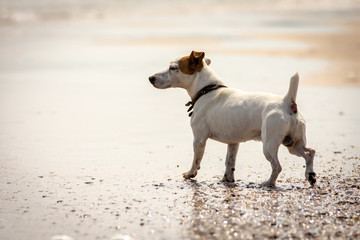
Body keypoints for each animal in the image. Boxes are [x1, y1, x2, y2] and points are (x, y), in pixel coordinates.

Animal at [148, 51, 316, 188]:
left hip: (269, 144)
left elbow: (196, 160)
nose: (150, 78)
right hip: (292, 143)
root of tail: (287, 101)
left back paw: (269, 183)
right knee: (309, 152)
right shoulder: (233, 143)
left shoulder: (199, 139)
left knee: (277, 166)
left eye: (173, 68)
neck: (207, 89)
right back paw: (310, 176)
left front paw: (190, 174)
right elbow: (230, 162)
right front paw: (227, 180)